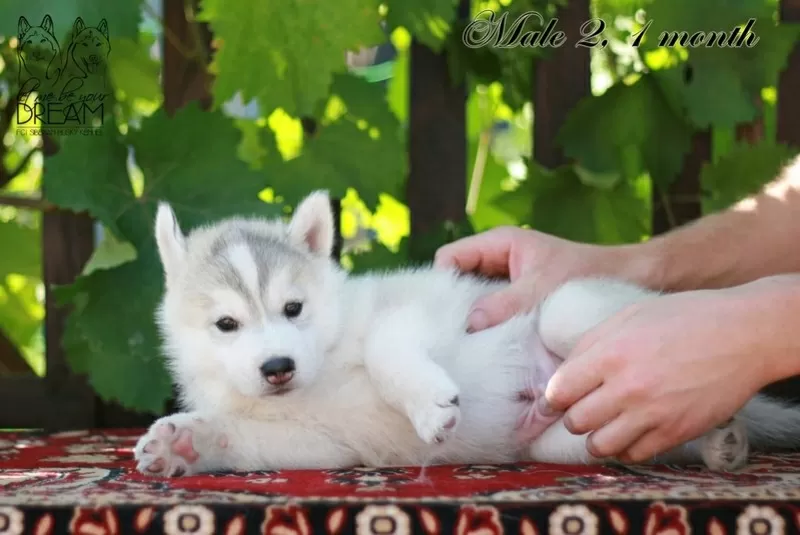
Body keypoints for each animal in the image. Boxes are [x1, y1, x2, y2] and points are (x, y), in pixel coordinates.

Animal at [134, 191, 800, 476]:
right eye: (226, 324)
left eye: (293, 307)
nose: (277, 367)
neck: (323, 365)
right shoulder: (319, 443)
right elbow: (247, 440)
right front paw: (187, 444)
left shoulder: (423, 308)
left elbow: (387, 346)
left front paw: (428, 403)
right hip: (565, 439)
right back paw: (718, 442)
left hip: (570, 308)